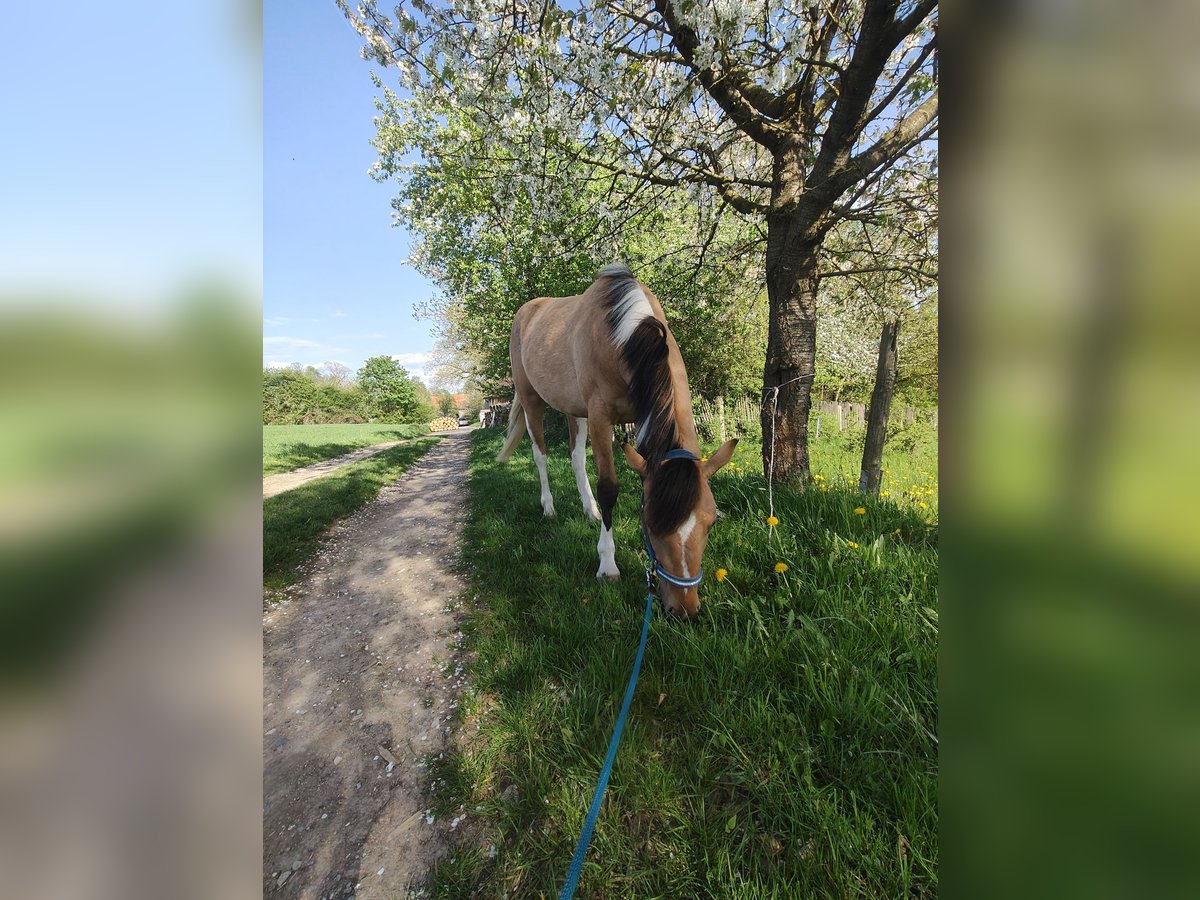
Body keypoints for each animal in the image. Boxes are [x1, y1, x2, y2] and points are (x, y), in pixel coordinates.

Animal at [495, 264, 738, 618]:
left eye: (710, 522)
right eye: (650, 523)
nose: (684, 609)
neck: (623, 335)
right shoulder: (600, 417)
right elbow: (609, 488)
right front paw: (608, 566)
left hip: (573, 408)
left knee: (576, 458)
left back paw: (590, 510)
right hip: (531, 400)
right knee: (540, 455)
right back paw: (549, 507)